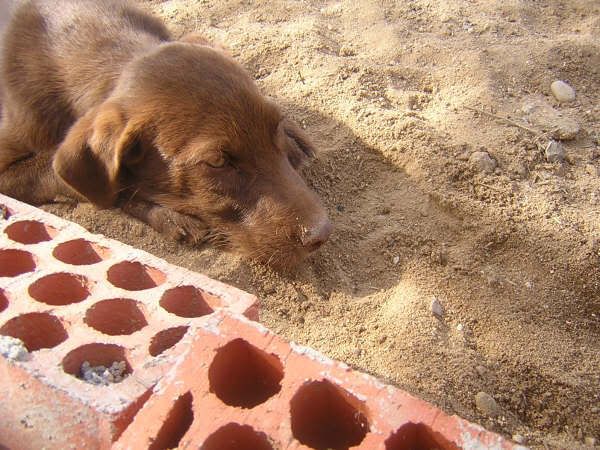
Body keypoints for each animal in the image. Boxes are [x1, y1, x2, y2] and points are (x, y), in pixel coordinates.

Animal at [0, 0, 332, 268]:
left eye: (273, 127)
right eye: (217, 162)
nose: (322, 234)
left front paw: (291, 137)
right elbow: (88, 182)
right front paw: (166, 215)